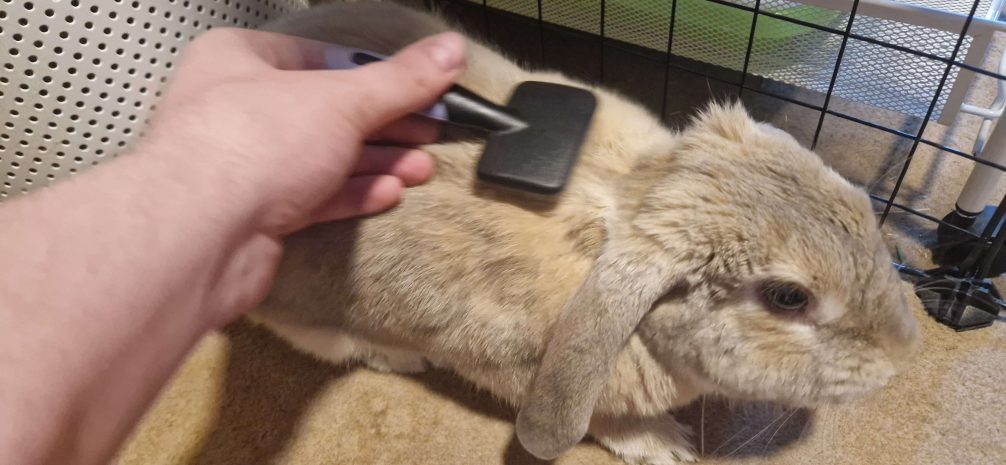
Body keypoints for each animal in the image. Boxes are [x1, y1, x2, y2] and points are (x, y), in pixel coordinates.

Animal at [249, 1, 921, 462]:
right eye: (788, 298)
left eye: (861, 206)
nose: (901, 359)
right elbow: (601, 421)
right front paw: (664, 444)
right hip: (315, 322)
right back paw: (398, 356)